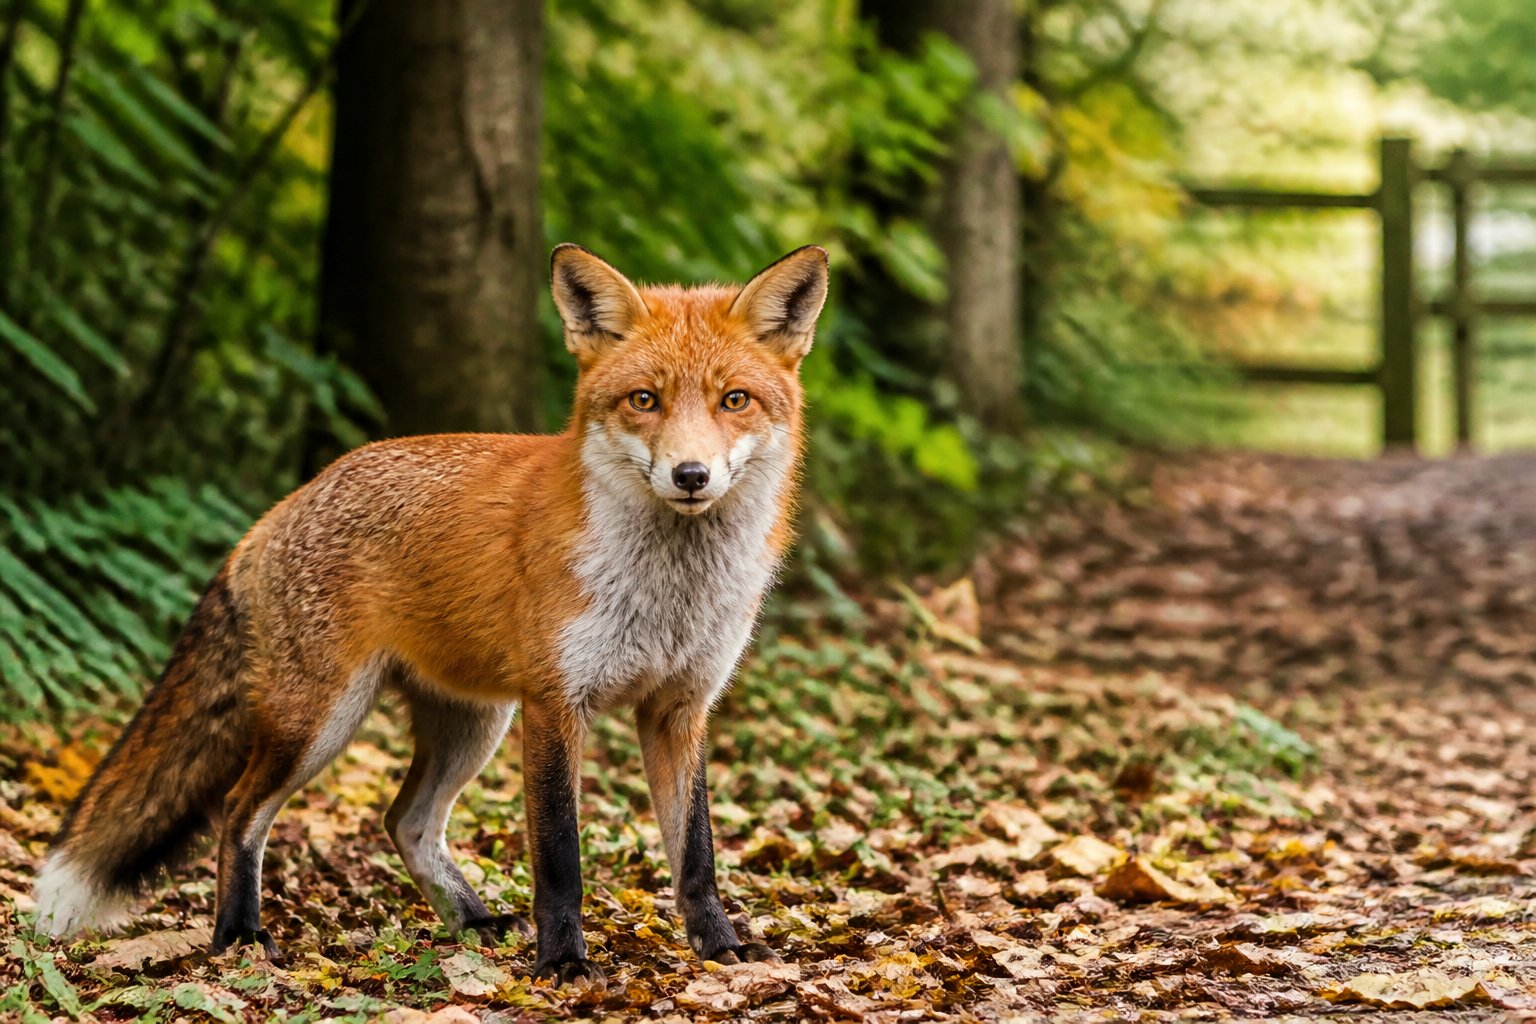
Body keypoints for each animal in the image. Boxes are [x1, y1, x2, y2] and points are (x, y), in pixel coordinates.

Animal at [32, 243, 830, 984]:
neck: (670, 591)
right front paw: (562, 963)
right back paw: (239, 935)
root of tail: (284, 505)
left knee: (405, 822)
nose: (691, 475)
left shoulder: (680, 708)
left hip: (471, 724)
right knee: (238, 811)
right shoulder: (555, 704)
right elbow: (560, 859)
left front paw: (721, 948)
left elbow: (696, 854)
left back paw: (474, 922)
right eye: (643, 400)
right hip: (320, 723)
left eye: (734, 400)